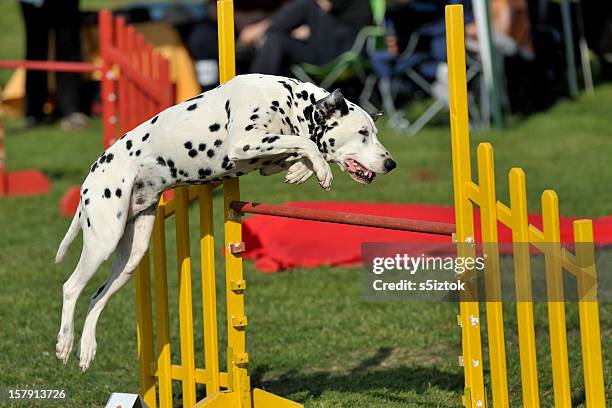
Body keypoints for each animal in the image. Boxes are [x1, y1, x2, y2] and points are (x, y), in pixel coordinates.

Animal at [53, 73, 396, 370]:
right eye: (363, 134)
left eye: (374, 133)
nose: (391, 163)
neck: (287, 101)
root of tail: (91, 175)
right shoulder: (244, 143)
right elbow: (307, 145)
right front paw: (320, 169)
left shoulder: (265, 160)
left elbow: (302, 150)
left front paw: (303, 170)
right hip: (103, 241)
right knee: (71, 288)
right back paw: (65, 342)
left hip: (131, 258)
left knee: (96, 297)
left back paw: (87, 348)